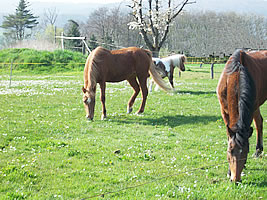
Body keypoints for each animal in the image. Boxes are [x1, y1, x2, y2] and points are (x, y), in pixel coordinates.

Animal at [218, 49, 267, 182]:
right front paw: (229, 171)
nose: (236, 179)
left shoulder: (252, 107)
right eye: (230, 151)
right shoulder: (224, 111)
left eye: (245, 152)